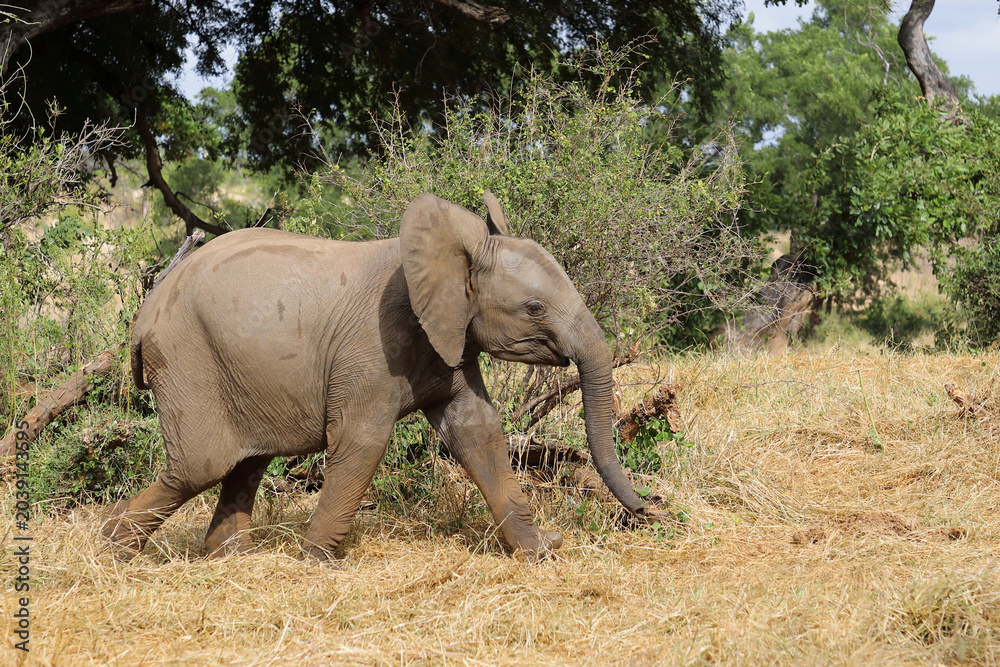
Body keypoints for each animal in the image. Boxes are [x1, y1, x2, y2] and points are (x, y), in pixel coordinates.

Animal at [100, 191, 649, 562]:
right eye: (534, 308)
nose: (647, 509)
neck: (451, 253)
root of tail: (143, 318)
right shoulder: (374, 346)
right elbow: (361, 440)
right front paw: (317, 563)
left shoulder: (450, 339)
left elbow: (479, 432)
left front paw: (540, 552)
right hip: (188, 361)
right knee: (200, 466)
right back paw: (109, 547)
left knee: (245, 464)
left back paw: (225, 558)